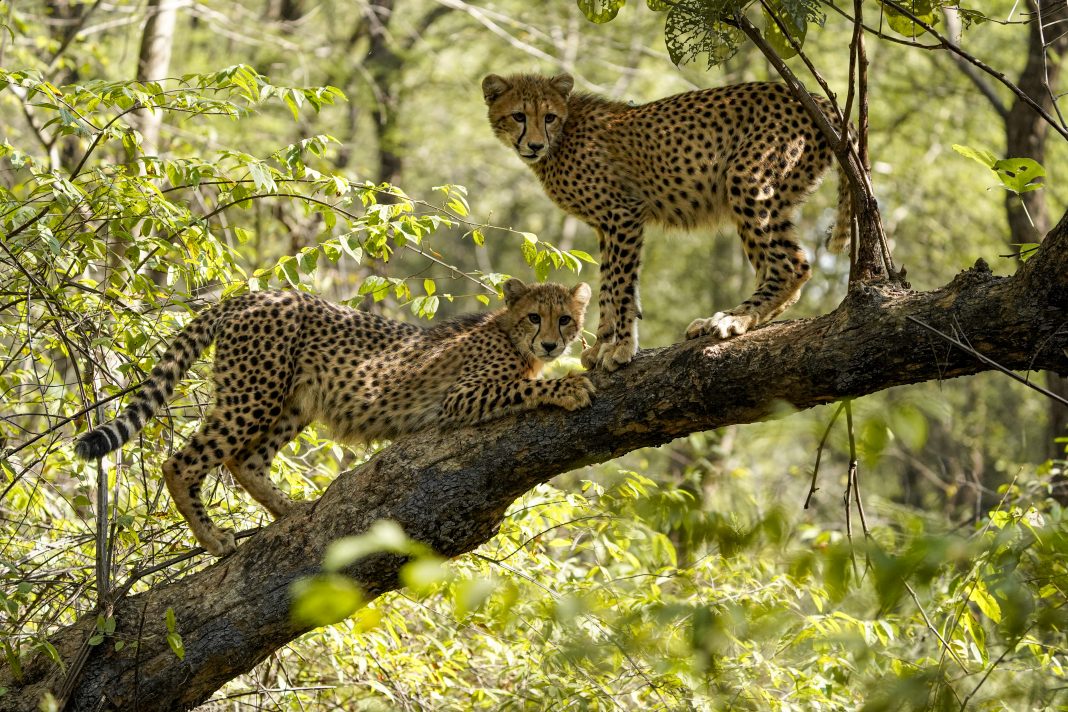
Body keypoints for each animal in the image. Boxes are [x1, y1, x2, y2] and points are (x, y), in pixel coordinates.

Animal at [75, 279, 593, 556]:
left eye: (565, 318)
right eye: (535, 317)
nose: (552, 343)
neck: (510, 335)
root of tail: (256, 294)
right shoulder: (461, 397)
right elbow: (525, 388)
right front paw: (569, 387)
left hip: (292, 402)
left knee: (245, 460)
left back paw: (289, 511)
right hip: (253, 393)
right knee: (181, 462)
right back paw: (214, 538)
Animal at [482, 72, 854, 371]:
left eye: (549, 117)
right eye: (518, 116)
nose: (534, 145)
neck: (563, 134)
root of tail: (813, 96)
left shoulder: (624, 213)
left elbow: (621, 289)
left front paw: (620, 348)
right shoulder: (606, 225)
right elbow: (608, 287)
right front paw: (603, 344)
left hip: (748, 183)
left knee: (791, 265)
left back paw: (734, 319)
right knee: (778, 266)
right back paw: (729, 318)